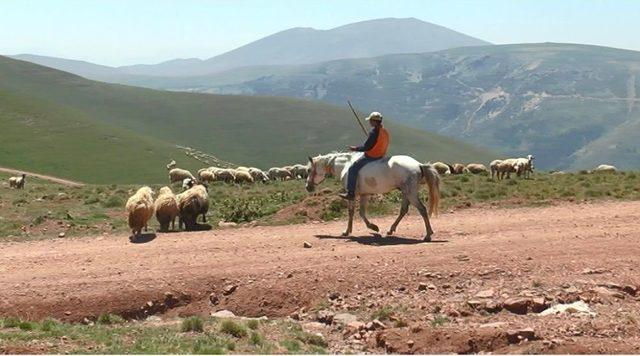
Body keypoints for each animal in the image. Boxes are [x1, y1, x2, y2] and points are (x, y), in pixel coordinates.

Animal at [306, 152, 440, 241]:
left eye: (308, 170)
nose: (308, 187)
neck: (345, 165)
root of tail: (419, 164)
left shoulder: (351, 195)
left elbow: (352, 212)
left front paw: (349, 231)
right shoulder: (364, 194)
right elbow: (361, 212)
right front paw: (372, 228)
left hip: (410, 193)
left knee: (422, 209)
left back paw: (428, 235)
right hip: (406, 193)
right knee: (403, 210)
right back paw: (391, 229)